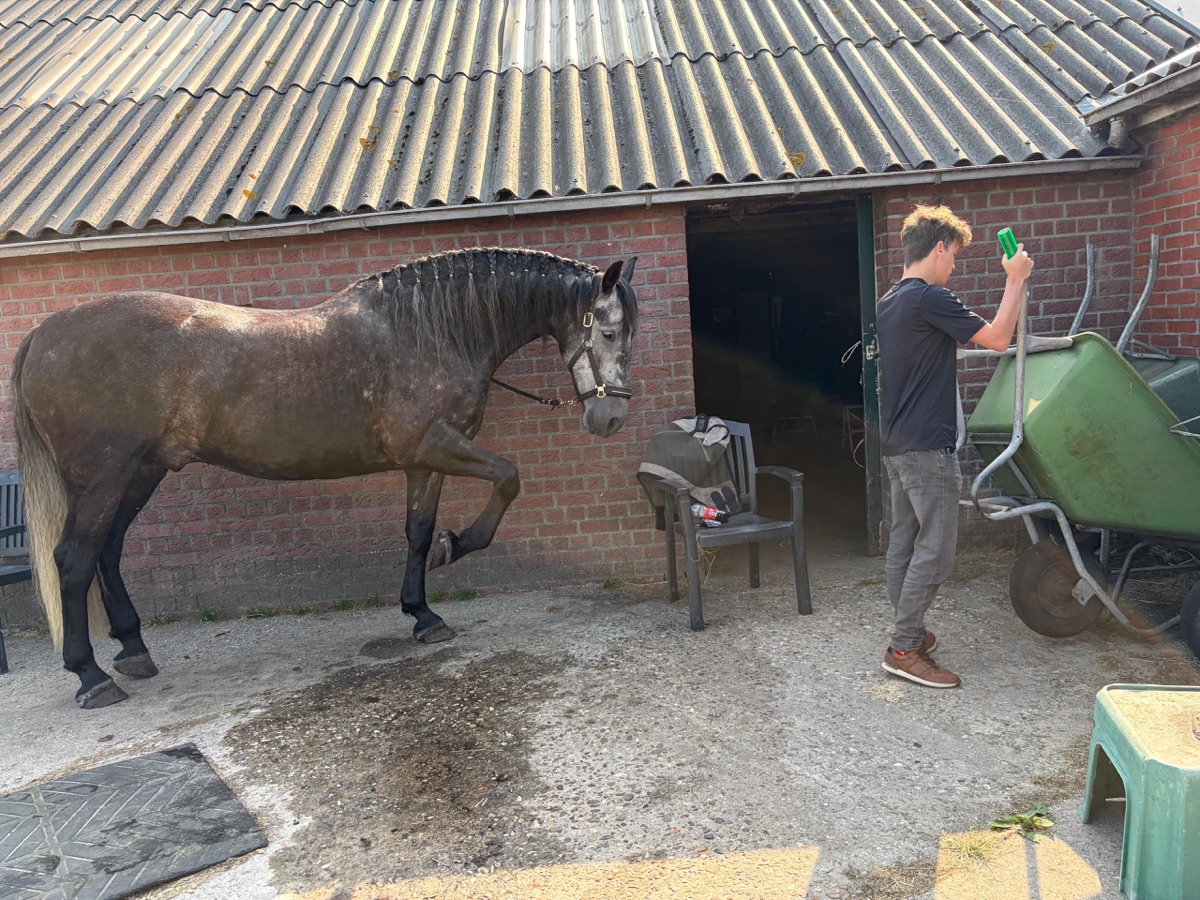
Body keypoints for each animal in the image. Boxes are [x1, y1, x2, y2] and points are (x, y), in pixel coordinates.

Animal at [11, 248, 638, 709]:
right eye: (609, 333)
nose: (610, 418)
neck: (428, 330)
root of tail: (45, 332)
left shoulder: (423, 460)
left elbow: (417, 532)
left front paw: (424, 612)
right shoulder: (435, 445)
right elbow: (508, 478)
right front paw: (455, 547)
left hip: (141, 471)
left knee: (109, 551)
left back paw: (133, 650)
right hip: (103, 477)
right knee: (74, 559)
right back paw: (91, 676)